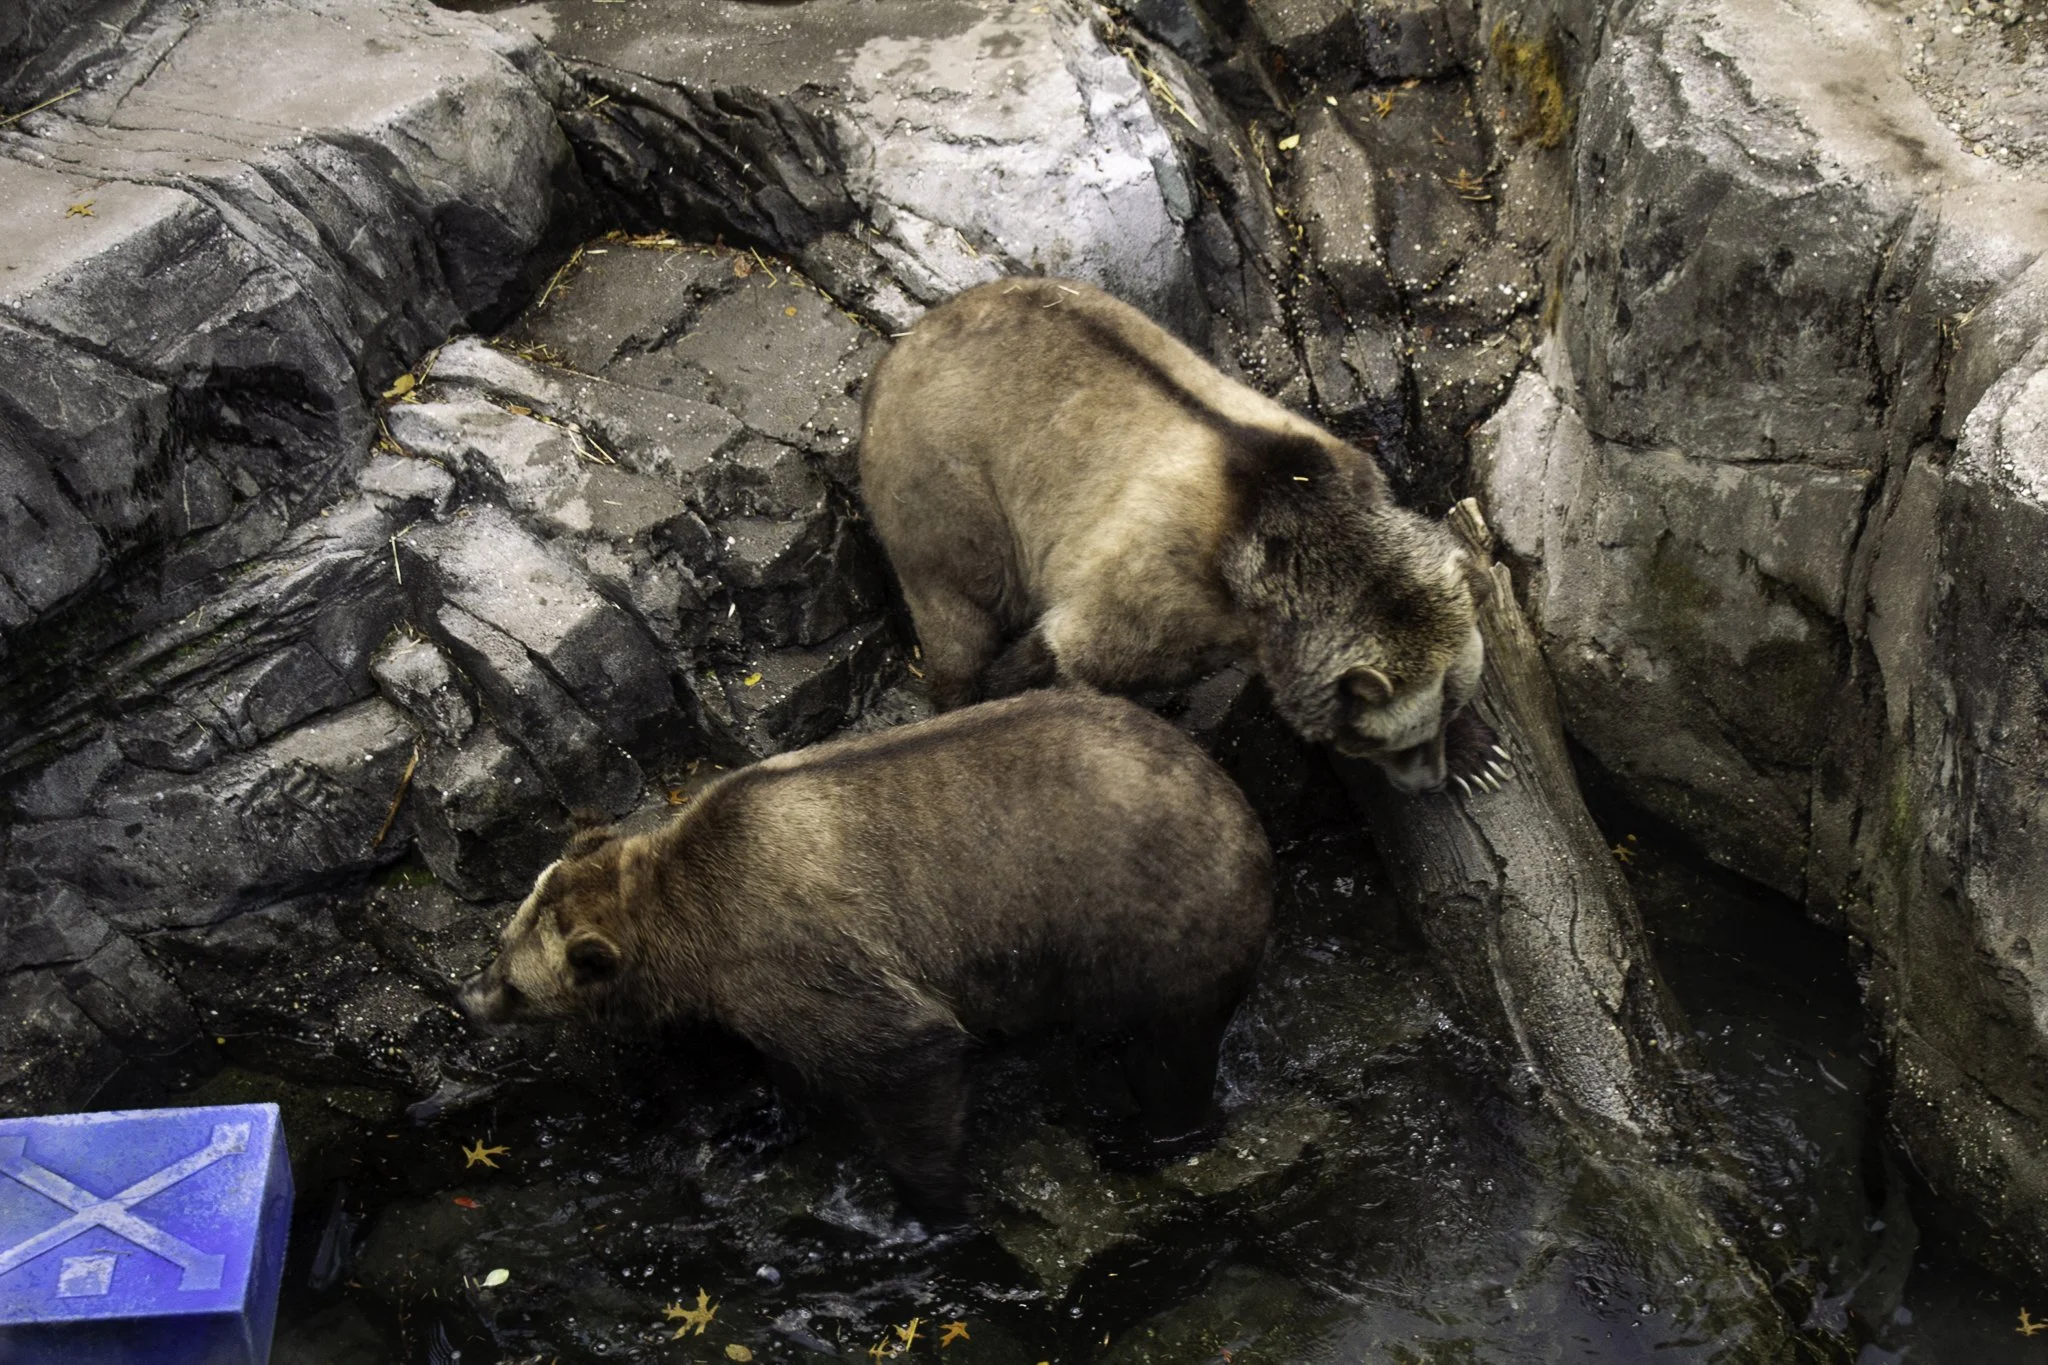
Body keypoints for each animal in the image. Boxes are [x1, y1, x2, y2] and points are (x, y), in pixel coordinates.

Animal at [458, 689, 1274, 1227]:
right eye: (501, 944)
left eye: (513, 980)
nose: (468, 999)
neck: (692, 932)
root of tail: (1235, 796)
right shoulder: (770, 988)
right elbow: (787, 1062)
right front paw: (750, 1127)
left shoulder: (803, 949)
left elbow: (907, 1055)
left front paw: (930, 1208)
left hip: (1153, 932)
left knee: (1169, 1056)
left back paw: (1144, 1138)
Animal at [857, 276, 1509, 795]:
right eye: (1395, 739)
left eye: (1448, 710)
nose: (1429, 780)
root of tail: (900, 346)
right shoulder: (1161, 590)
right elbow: (1067, 652)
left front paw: (1482, 756)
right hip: (944, 492)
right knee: (956, 614)